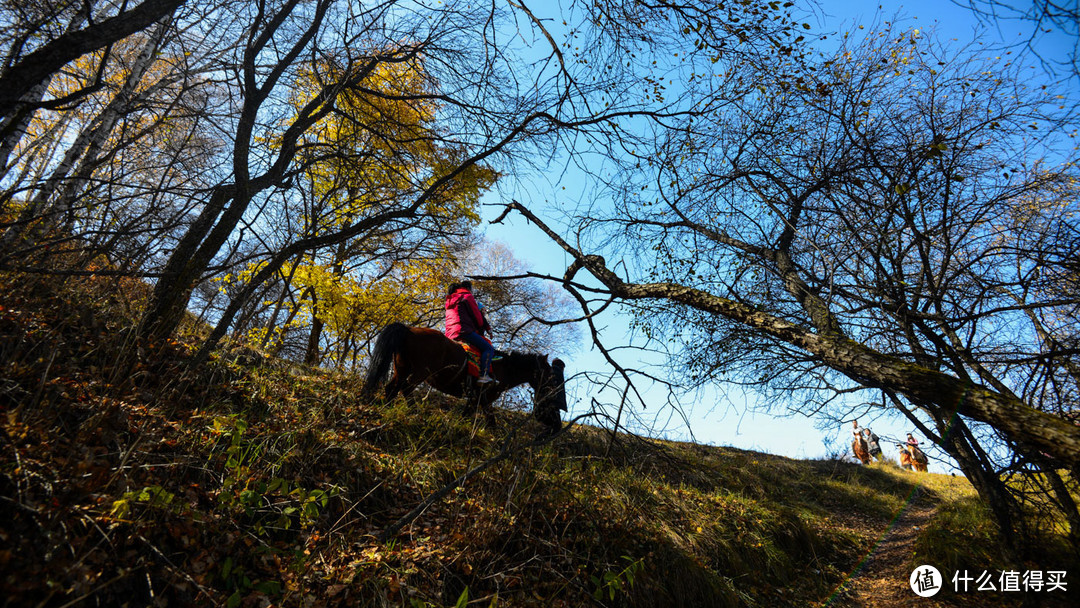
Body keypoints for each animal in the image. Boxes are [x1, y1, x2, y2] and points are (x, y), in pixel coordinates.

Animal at [360, 323, 570, 431]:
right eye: (550, 376)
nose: (555, 423)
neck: (503, 368)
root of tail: (409, 330)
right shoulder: (481, 398)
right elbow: (485, 420)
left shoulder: (480, 400)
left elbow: (482, 419)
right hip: (420, 372)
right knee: (406, 388)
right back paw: (414, 412)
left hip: (401, 369)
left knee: (392, 388)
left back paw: (387, 408)